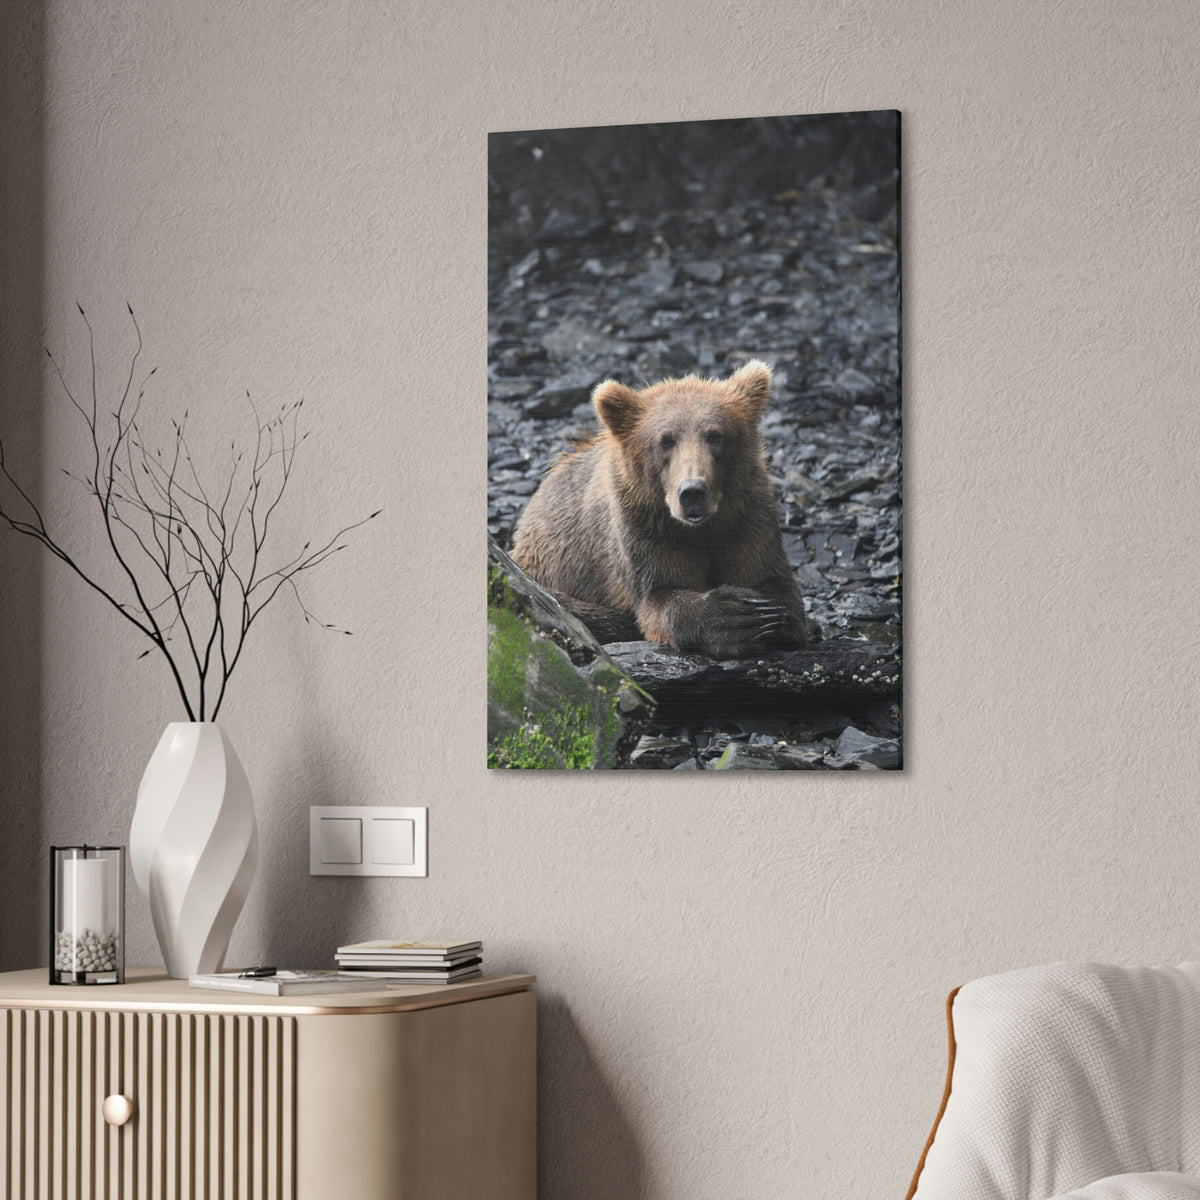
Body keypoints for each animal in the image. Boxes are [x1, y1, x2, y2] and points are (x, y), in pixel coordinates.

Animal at [511, 360, 808, 659]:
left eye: (715, 435)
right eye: (666, 440)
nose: (692, 492)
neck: (700, 528)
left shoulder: (747, 516)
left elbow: (771, 579)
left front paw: (768, 616)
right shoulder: (644, 527)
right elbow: (660, 595)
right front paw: (734, 617)